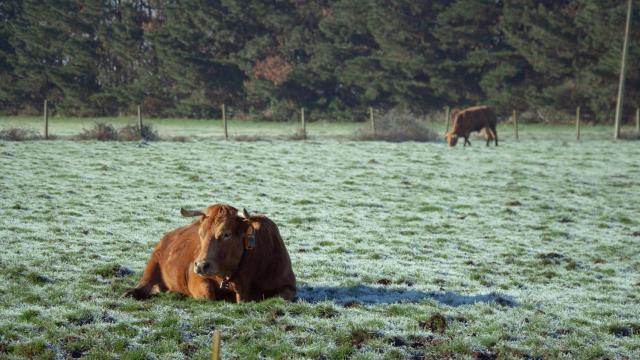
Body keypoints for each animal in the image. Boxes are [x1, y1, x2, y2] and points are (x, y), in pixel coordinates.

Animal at [123, 204, 298, 302]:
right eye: (200, 233)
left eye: (226, 234)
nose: (201, 265)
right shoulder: (196, 278)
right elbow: (208, 294)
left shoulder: (288, 285)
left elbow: (281, 296)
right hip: (154, 262)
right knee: (145, 284)